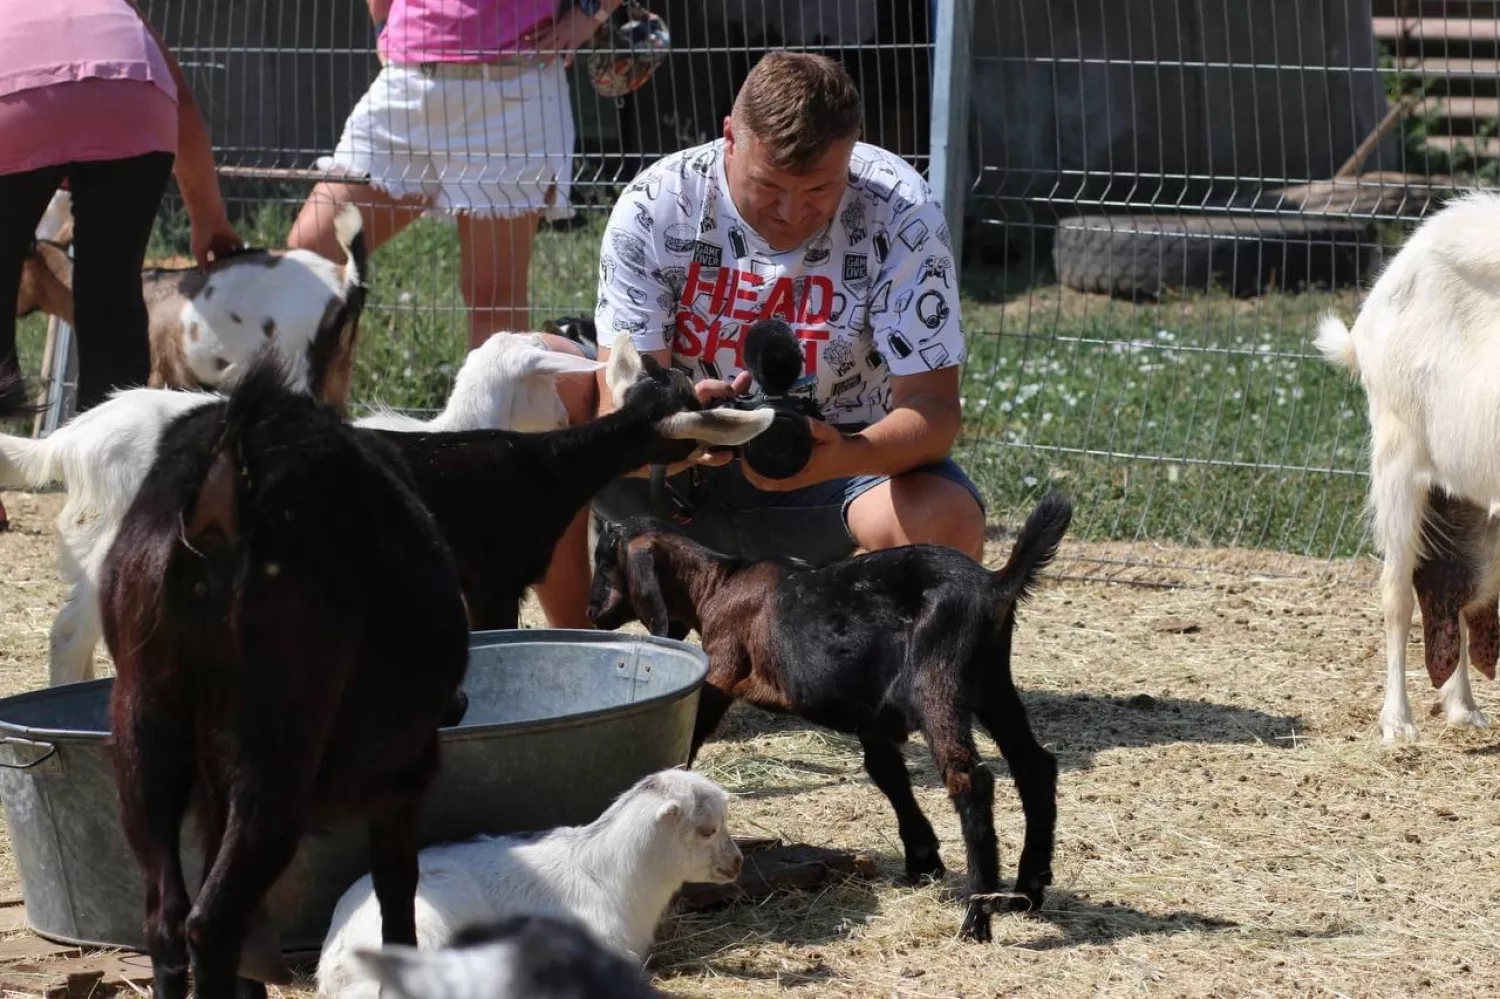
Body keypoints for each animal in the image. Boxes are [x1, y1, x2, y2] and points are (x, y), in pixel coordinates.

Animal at [98, 349, 468, 996]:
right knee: (212, 922)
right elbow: (397, 889)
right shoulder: (404, 776)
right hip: (275, 754)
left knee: (168, 916)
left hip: (146, 732)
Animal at [579, 492, 1074, 942]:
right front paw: (922, 860)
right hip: (993, 684)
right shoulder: (871, 713)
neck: (717, 584)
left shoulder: (722, 668)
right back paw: (1028, 890)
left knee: (971, 780)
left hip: (939, 682)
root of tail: (995, 584)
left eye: (605, 562)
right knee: (1034, 764)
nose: (592, 612)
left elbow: (694, 734)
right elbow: (887, 773)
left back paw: (977, 918)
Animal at [1314, 190, 1500, 744]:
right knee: (1397, 591)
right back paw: (1397, 721)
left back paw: (1462, 706)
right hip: (1398, 458)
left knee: (1456, 584)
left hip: (1465, 489)